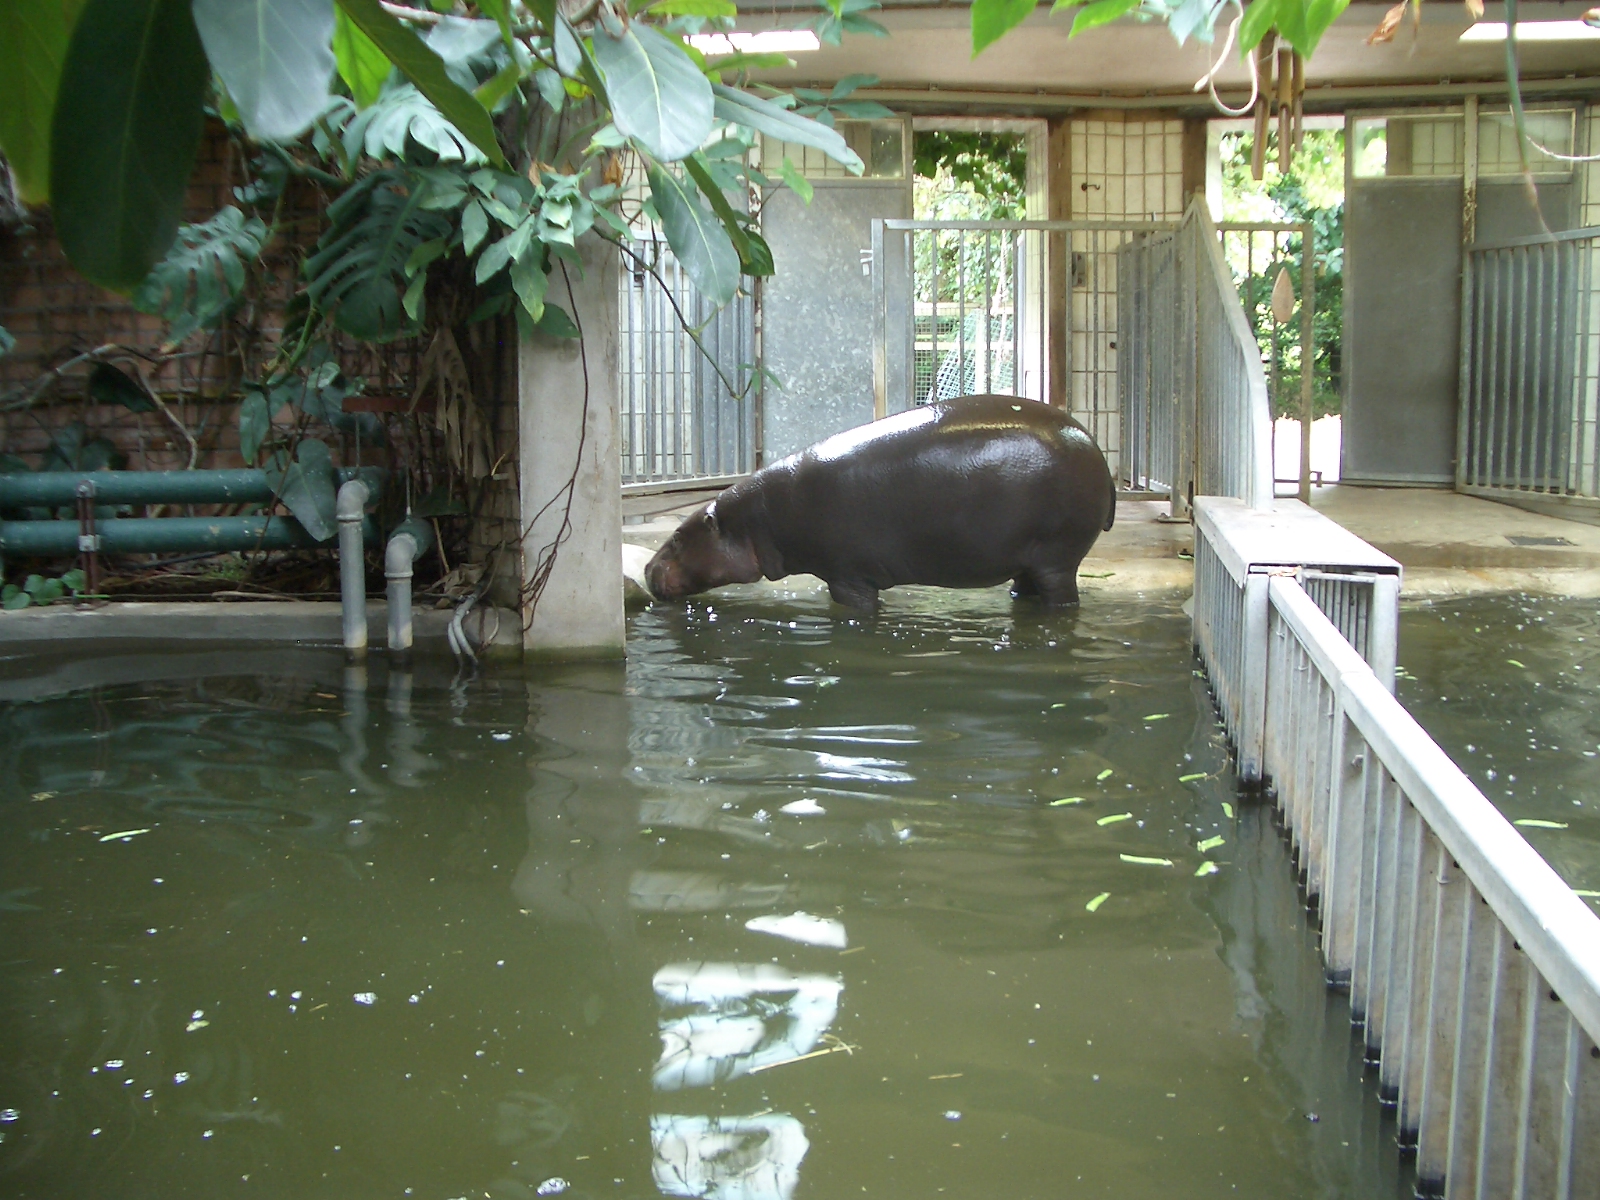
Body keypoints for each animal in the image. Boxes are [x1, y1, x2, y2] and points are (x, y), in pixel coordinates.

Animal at [644, 395, 1116, 611]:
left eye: (678, 538)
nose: (648, 568)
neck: (757, 518)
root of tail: (1093, 444)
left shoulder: (848, 576)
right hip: (1027, 560)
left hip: (1058, 556)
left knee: (1062, 597)